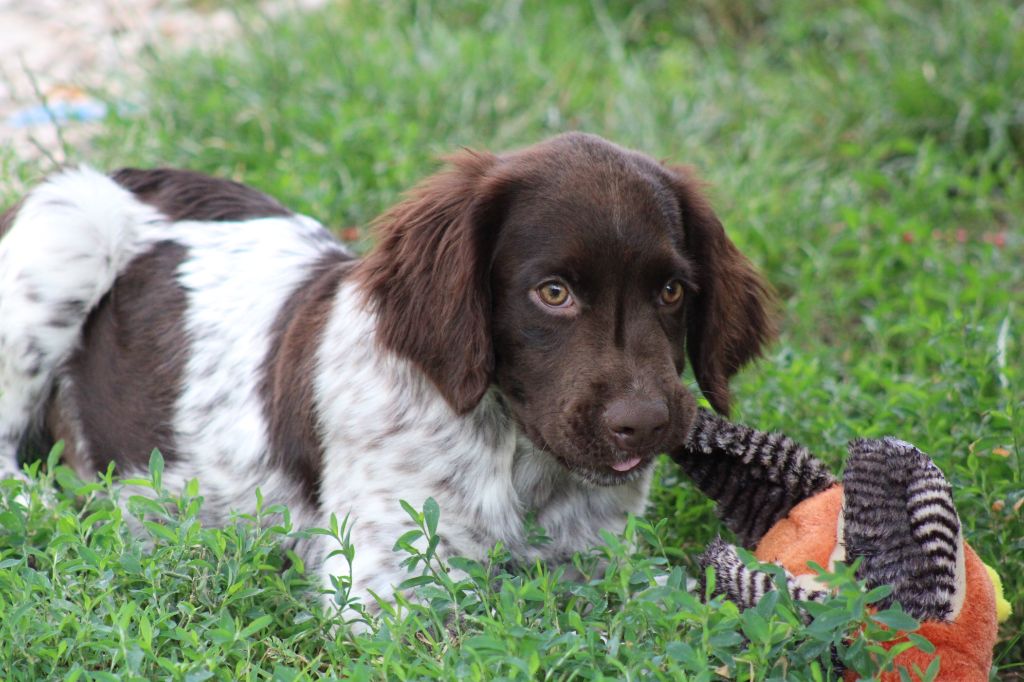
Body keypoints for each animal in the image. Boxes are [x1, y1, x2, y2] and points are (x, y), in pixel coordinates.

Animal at [0, 131, 774, 622]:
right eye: (552, 293)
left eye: (672, 291)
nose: (644, 423)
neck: (517, 457)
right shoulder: (383, 589)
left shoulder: (599, 559)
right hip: (66, 232)